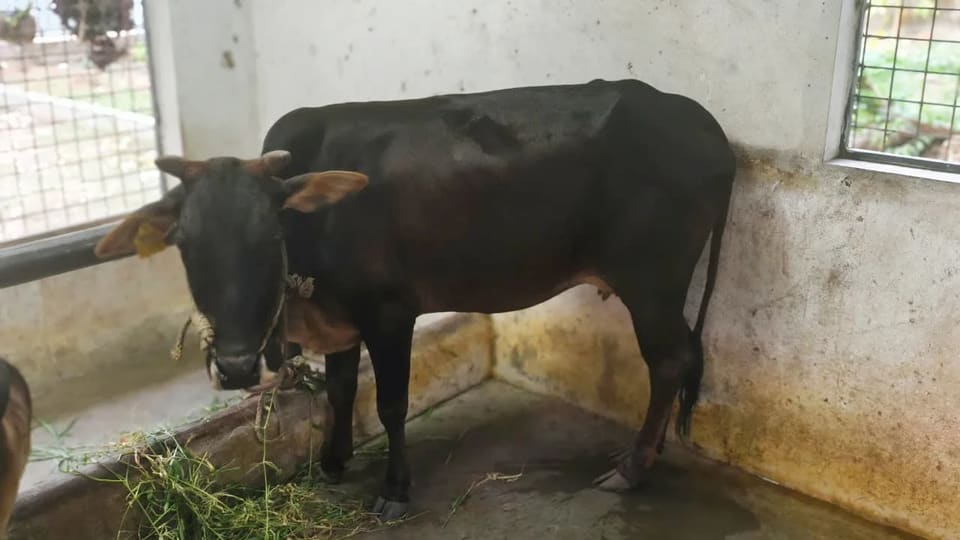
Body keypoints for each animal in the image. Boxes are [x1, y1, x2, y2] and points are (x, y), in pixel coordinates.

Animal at [94, 79, 734, 521]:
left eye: (270, 236)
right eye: (185, 244)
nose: (233, 367)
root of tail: (700, 122)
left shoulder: (389, 313)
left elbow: (391, 404)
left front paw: (394, 490)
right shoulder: (341, 318)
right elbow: (341, 389)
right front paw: (333, 463)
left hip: (652, 282)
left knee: (670, 362)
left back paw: (631, 468)